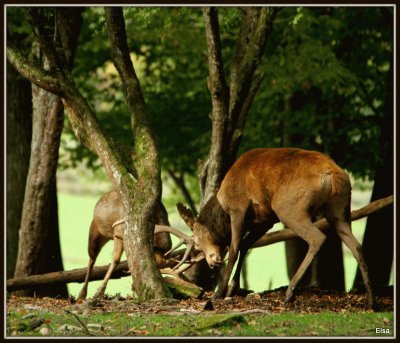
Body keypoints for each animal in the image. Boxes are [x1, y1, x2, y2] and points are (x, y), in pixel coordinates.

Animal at [175, 148, 376, 310]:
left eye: (197, 242)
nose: (212, 262)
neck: (223, 208)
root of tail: (333, 176)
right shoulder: (266, 219)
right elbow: (245, 246)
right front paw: (234, 288)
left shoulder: (239, 208)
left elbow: (234, 249)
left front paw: (220, 292)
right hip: (339, 210)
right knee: (356, 245)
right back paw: (371, 301)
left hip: (288, 207)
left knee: (317, 237)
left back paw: (290, 292)